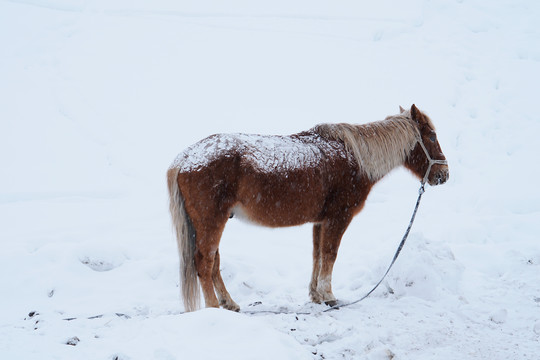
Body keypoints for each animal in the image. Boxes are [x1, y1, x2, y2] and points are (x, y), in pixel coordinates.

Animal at [167, 105, 450, 312]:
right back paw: (214, 307)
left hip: (211, 223)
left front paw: (315, 295)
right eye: (432, 136)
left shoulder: (320, 221)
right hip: (211, 222)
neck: (354, 158)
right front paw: (329, 296)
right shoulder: (338, 218)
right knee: (204, 263)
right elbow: (330, 254)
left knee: (213, 263)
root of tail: (184, 159)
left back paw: (229, 303)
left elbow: (317, 255)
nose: (443, 175)